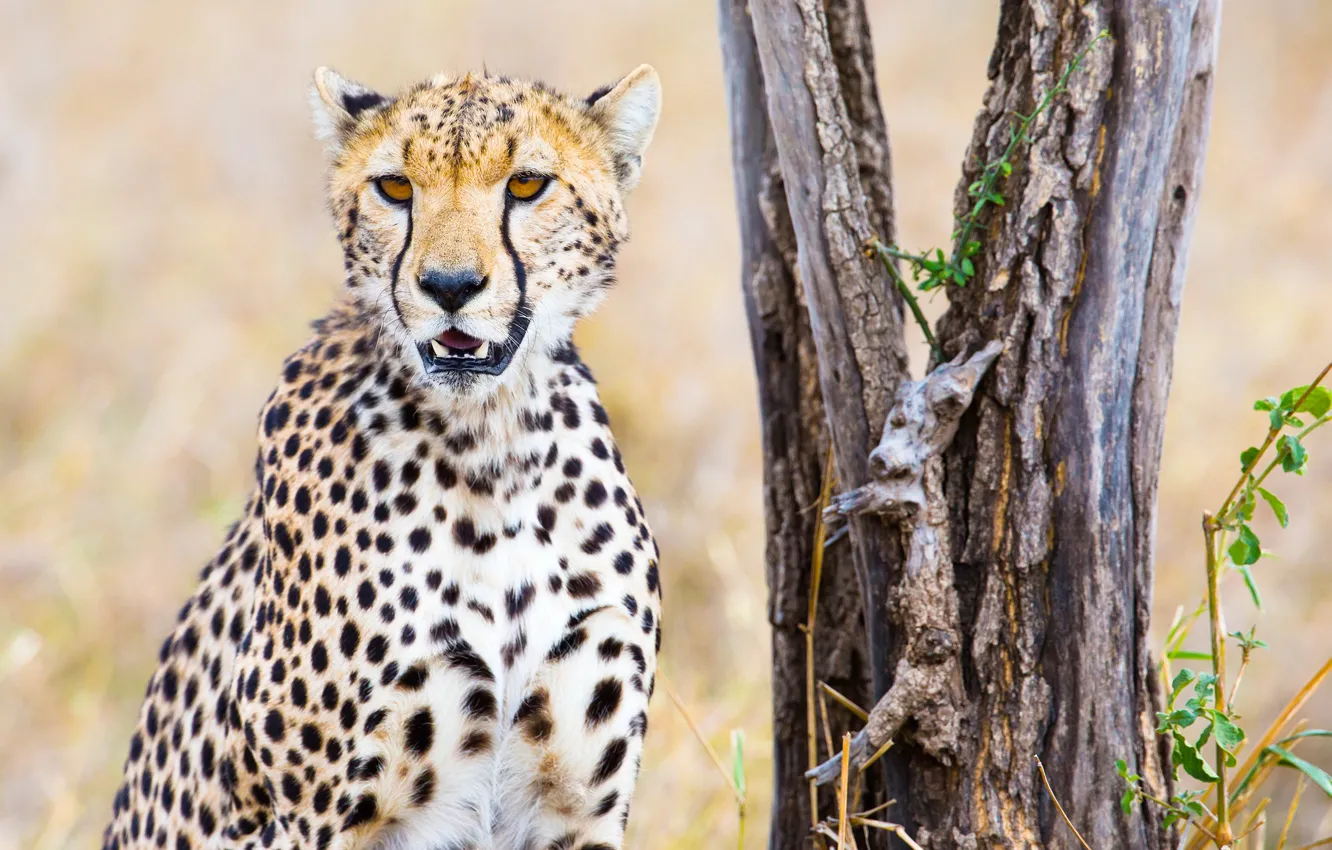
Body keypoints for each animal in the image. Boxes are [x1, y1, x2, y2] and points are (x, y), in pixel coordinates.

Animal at [101, 63, 664, 850]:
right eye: (394, 187)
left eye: (527, 184)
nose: (451, 287)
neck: (492, 448)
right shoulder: (319, 820)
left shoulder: (576, 810)